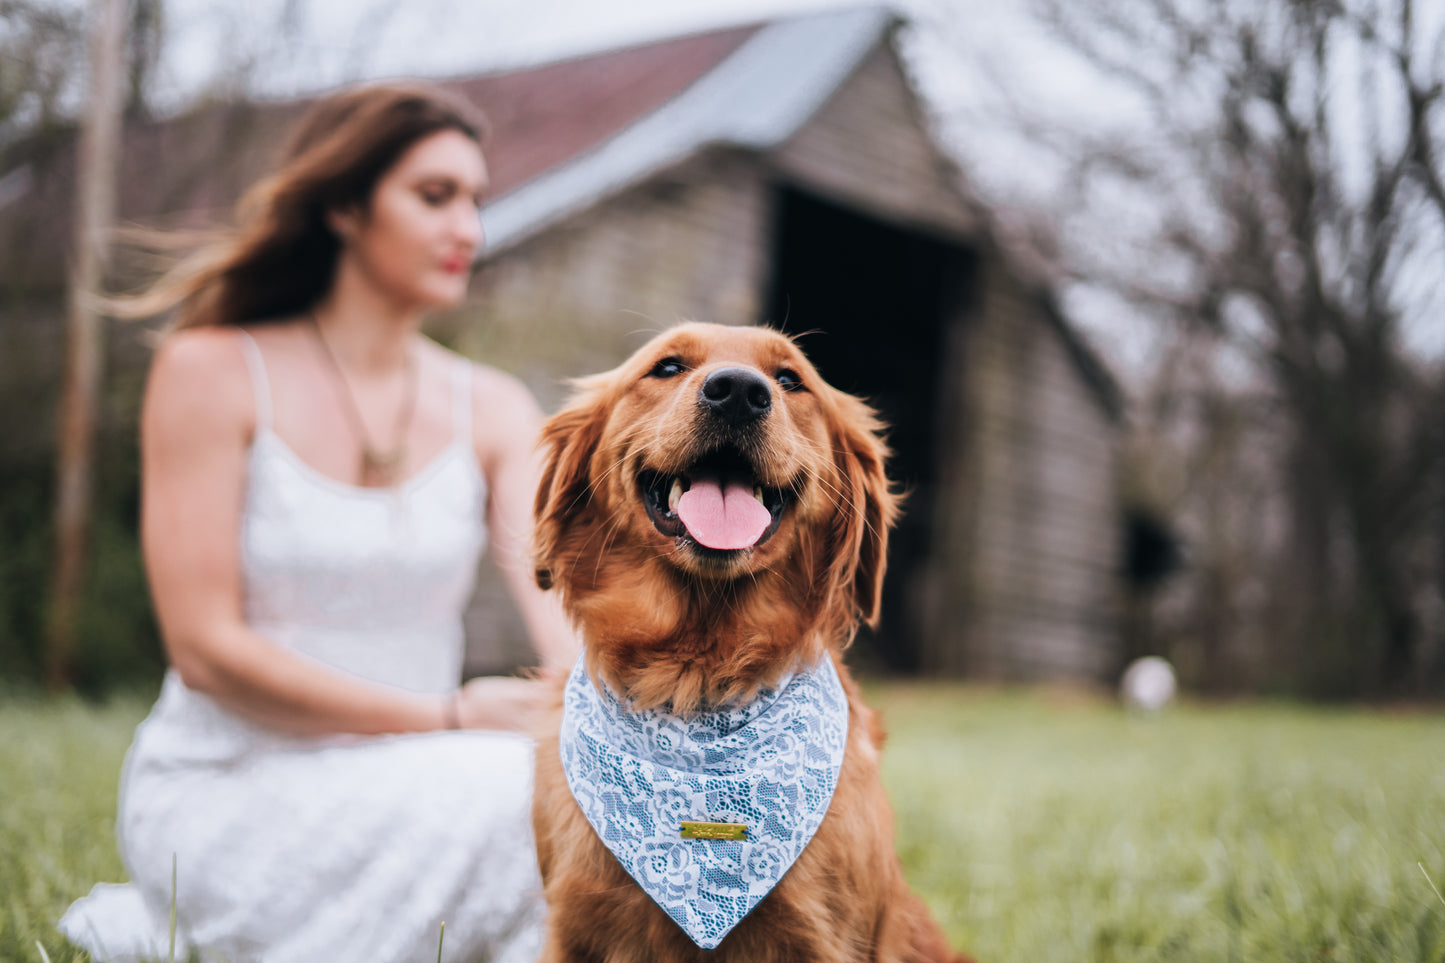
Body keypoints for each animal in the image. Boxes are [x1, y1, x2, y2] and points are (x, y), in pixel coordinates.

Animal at [528, 323, 971, 960]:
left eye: (790, 379)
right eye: (667, 366)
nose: (738, 391)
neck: (695, 681)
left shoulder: (824, 935)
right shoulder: (573, 926)